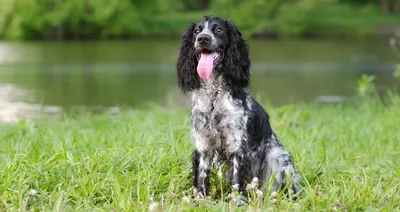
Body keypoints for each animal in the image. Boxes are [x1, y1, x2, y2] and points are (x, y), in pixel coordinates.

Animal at [177, 15, 302, 202]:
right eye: (197, 31)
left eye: (218, 30)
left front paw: (237, 202)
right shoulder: (203, 143)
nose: (203, 39)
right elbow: (202, 175)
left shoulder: (237, 143)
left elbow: (237, 179)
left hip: (277, 156)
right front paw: (201, 199)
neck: (214, 97)